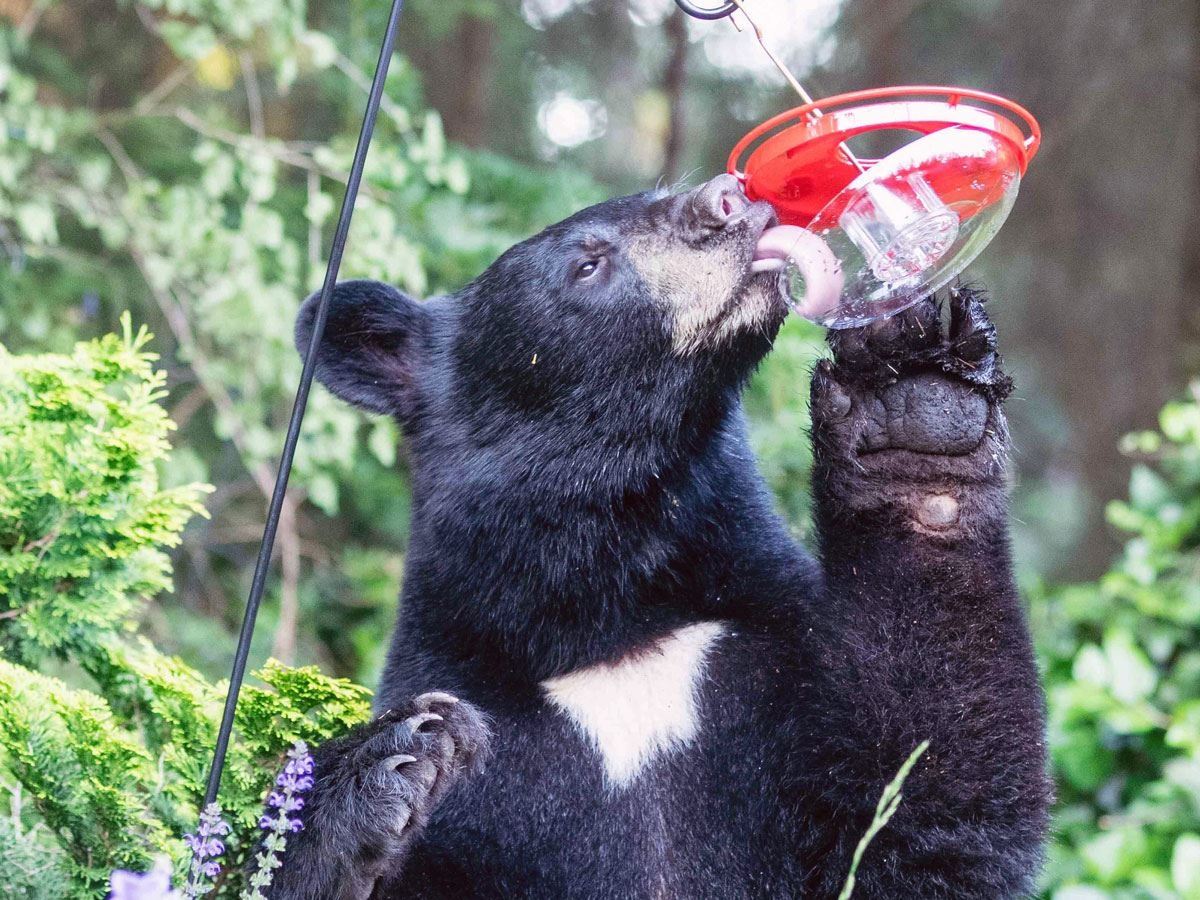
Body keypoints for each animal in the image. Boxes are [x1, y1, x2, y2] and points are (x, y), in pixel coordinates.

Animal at [270, 172, 1051, 897]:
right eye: (587, 263)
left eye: (657, 193)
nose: (728, 201)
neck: (614, 610)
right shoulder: (481, 738)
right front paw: (389, 761)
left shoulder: (770, 656)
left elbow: (921, 799)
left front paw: (916, 397)